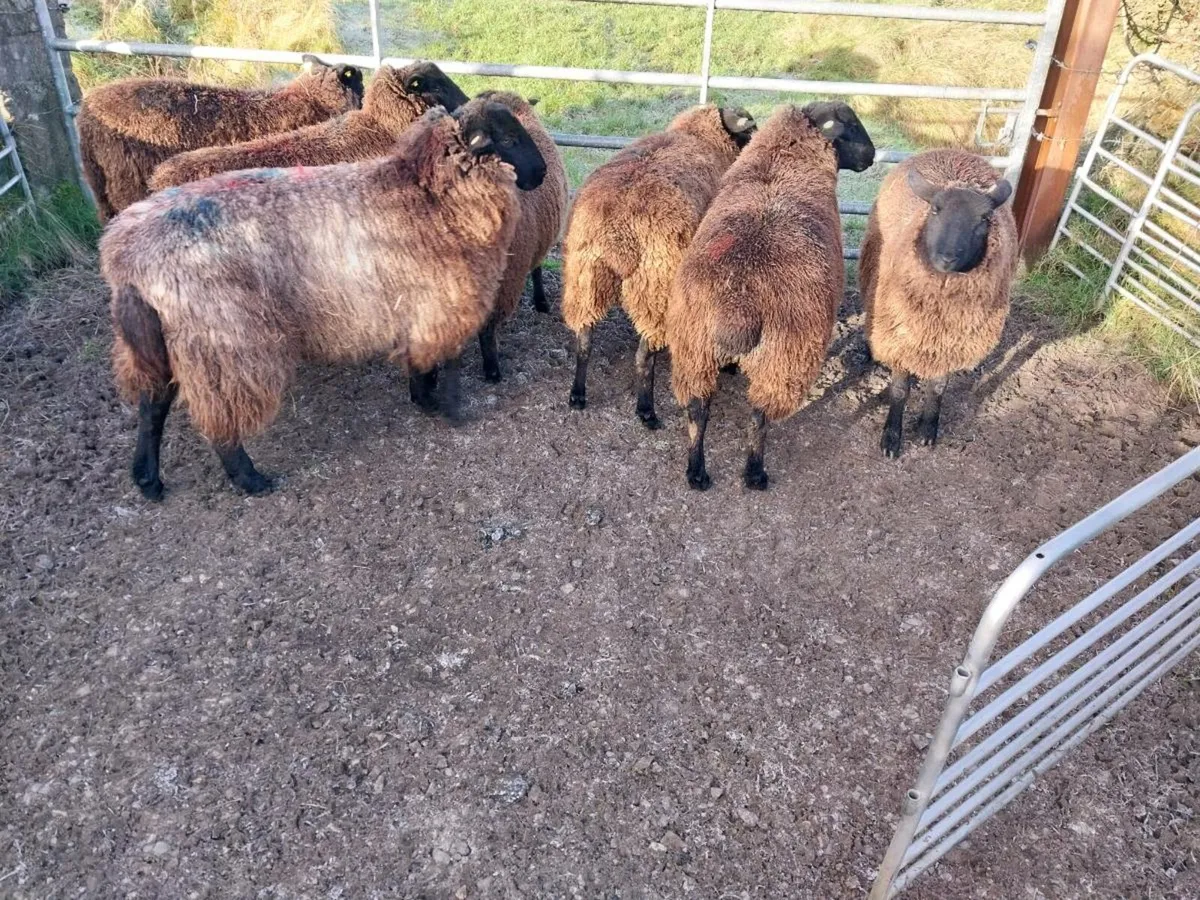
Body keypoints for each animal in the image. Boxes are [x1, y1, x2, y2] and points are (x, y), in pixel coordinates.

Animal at [102, 99, 547, 500]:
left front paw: (425, 398)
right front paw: (449, 410)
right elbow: (445, 361)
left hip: (159, 342)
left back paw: (148, 480)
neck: (428, 194)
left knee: (152, 404)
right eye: (509, 139)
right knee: (221, 419)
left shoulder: (416, 306)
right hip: (224, 342)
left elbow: (421, 362)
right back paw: (250, 480)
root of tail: (125, 257)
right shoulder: (442, 303)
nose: (541, 172)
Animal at [561, 104, 757, 428]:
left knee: (584, 339)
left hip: (585, 277)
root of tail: (618, 230)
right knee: (643, 355)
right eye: (750, 130)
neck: (698, 135)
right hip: (655, 286)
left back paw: (578, 394)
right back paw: (646, 411)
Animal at [667, 102, 876, 490]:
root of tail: (737, 308)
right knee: (760, 415)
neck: (780, 164)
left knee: (697, 410)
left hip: (692, 349)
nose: (871, 156)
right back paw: (754, 472)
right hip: (783, 359)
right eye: (852, 125)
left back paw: (696, 471)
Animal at [859, 149, 1017, 459]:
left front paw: (928, 428)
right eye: (935, 210)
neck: (938, 315)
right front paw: (891, 438)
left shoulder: (951, 342)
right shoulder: (901, 337)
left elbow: (939, 387)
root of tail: (953, 151)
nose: (947, 257)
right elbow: (900, 390)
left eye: (984, 218)